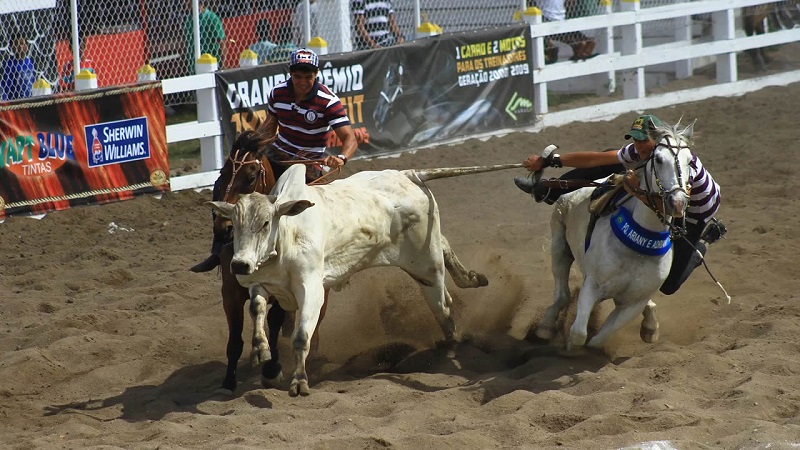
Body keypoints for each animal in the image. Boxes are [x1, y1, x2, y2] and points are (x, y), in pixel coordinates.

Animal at [209, 163, 516, 396]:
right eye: (236, 224)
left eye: (265, 223)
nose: (239, 263)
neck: (288, 234)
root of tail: (409, 174)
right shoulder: (262, 284)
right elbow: (257, 308)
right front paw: (260, 350)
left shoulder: (312, 290)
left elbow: (301, 337)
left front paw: (299, 382)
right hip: (426, 257)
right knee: (444, 248)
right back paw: (472, 278)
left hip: (427, 267)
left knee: (445, 308)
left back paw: (450, 347)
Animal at [536, 119, 692, 352]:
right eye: (658, 158)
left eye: (690, 161)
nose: (678, 202)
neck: (637, 247)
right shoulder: (592, 285)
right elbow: (579, 333)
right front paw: (570, 346)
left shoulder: (633, 303)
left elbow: (598, 340)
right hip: (559, 245)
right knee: (562, 295)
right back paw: (545, 327)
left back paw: (650, 327)